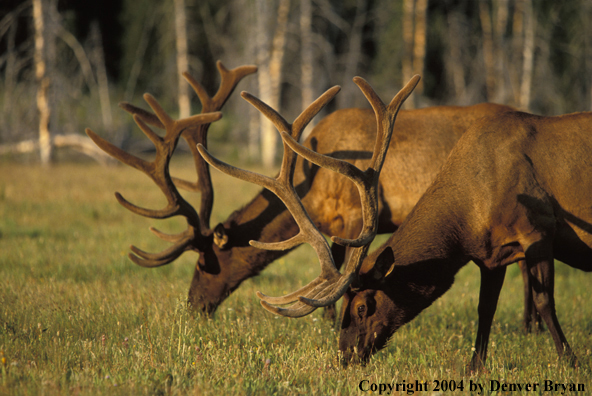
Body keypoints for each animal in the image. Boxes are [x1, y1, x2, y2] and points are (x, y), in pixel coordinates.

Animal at [88, 60, 540, 330]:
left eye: (205, 262)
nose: (193, 307)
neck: (313, 190)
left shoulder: (354, 219)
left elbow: (336, 275)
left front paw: (325, 327)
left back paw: (530, 326)